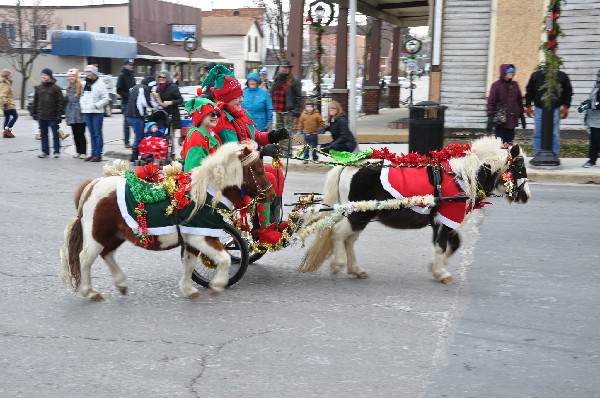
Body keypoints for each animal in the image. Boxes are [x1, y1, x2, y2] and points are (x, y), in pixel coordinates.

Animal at [58, 141, 274, 300]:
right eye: (259, 171)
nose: (271, 195)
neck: (205, 194)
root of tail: (93, 185)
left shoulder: (193, 239)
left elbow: (190, 263)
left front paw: (189, 289)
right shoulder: (201, 238)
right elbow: (224, 258)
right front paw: (217, 285)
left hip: (115, 234)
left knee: (107, 254)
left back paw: (121, 283)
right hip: (98, 235)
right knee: (85, 258)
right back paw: (90, 291)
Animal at [298, 136, 528, 282]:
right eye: (519, 168)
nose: (526, 197)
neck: (462, 176)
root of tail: (349, 166)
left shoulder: (442, 222)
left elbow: (453, 244)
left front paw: (437, 268)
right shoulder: (446, 220)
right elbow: (443, 246)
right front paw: (442, 272)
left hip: (360, 215)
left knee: (349, 239)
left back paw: (356, 269)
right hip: (359, 213)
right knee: (339, 234)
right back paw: (338, 264)